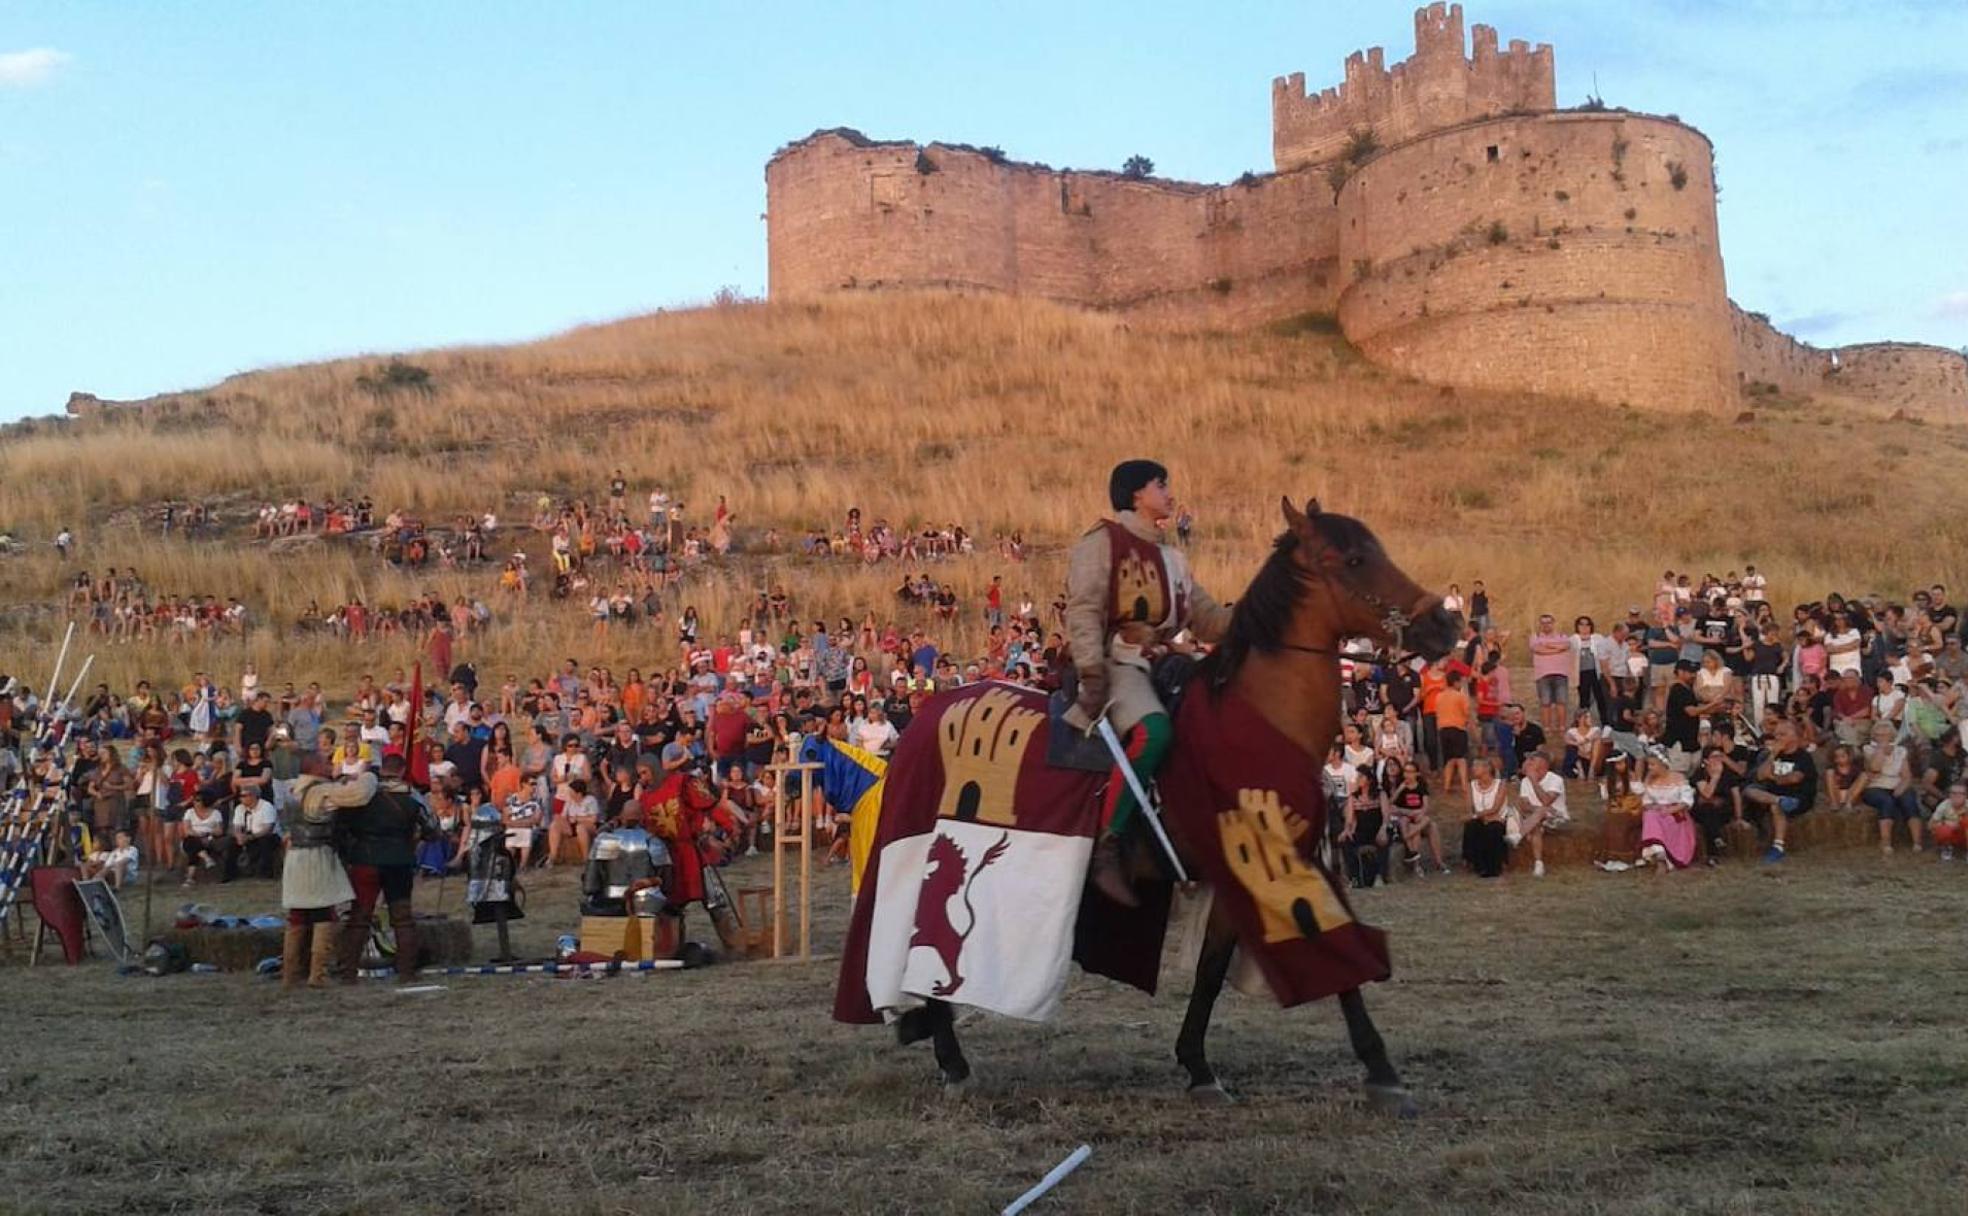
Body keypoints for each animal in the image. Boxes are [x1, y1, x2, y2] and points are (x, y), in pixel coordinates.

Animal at [885, 491, 1456, 1109]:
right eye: (1352, 560)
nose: (1445, 623)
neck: (1255, 718)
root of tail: (925, 720)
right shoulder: (1275, 865)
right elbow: (1336, 955)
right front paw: (1381, 1070)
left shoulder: (1242, 875)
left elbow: (1211, 972)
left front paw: (1199, 1066)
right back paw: (951, 1061)